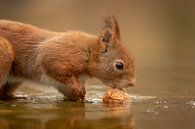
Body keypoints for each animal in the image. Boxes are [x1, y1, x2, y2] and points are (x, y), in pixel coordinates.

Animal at [0, 15, 136, 101]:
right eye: (119, 65)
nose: (132, 83)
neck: (88, 53)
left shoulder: (62, 85)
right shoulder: (57, 55)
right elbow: (52, 65)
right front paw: (79, 90)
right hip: (5, 54)